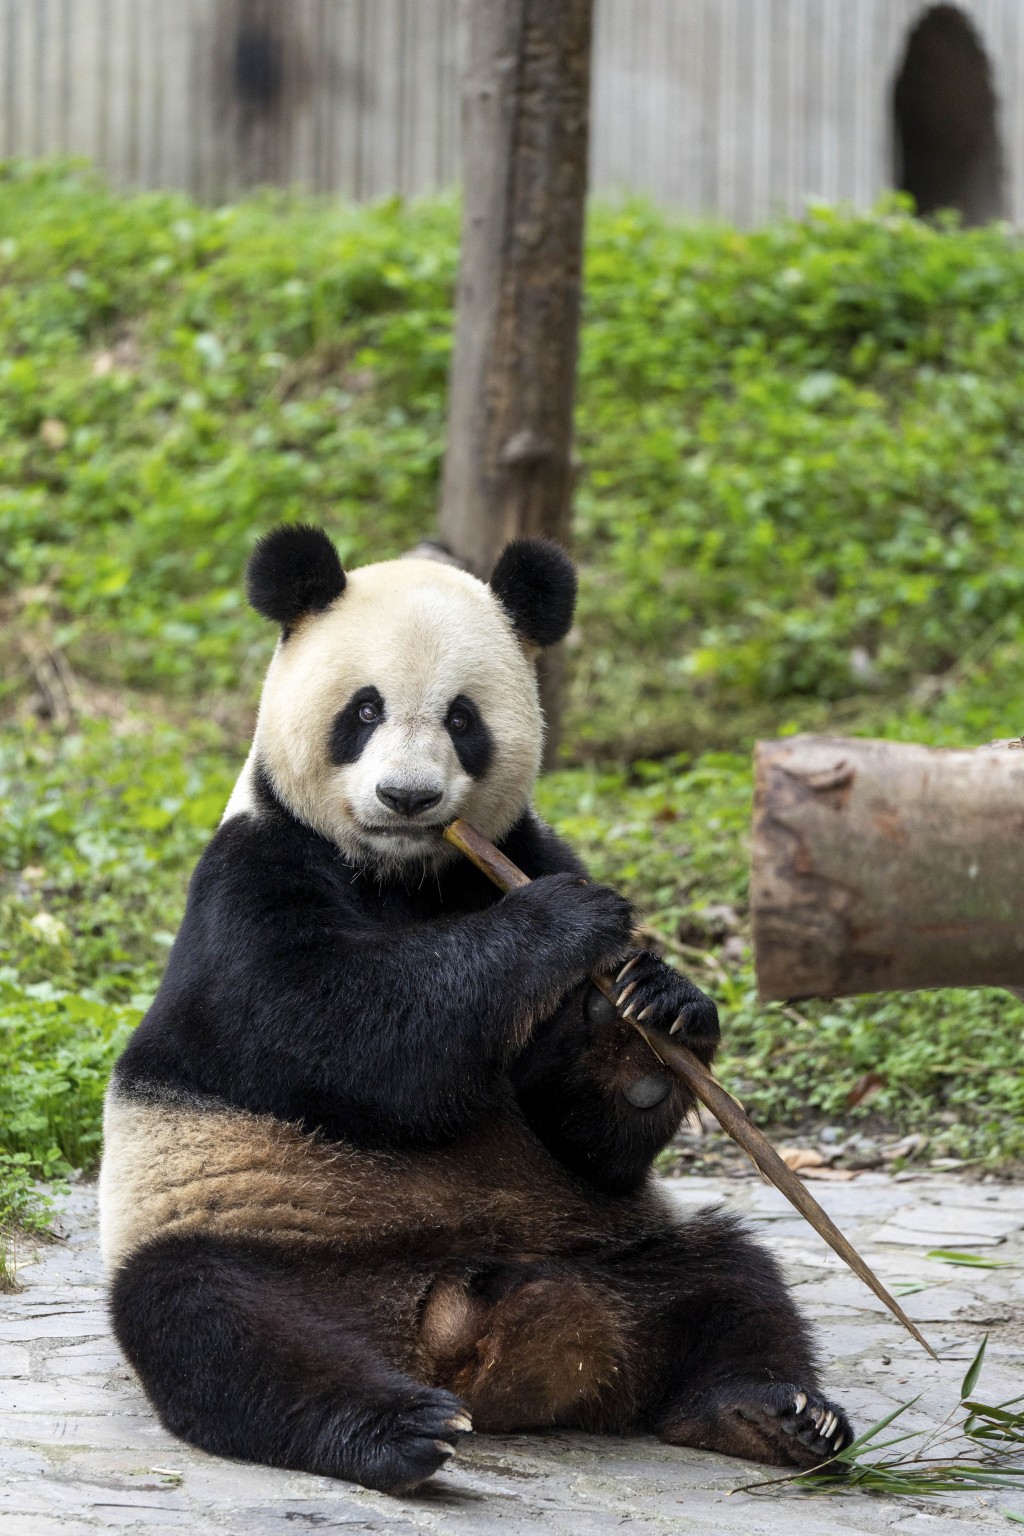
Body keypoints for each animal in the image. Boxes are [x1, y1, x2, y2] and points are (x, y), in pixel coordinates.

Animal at [98, 525, 847, 1486]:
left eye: (462, 718)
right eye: (364, 711)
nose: (409, 797)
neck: (406, 872)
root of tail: (457, 1340)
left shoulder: (522, 844)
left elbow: (584, 1137)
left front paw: (654, 1011)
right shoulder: (251, 880)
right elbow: (337, 1031)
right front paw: (564, 922)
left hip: (602, 1247)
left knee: (731, 1279)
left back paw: (775, 1414)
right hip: (249, 1234)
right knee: (224, 1328)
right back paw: (395, 1429)